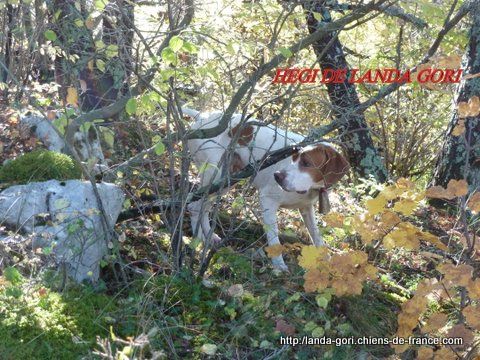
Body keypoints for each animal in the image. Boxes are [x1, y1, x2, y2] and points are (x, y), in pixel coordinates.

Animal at [184, 108, 348, 272]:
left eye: (307, 163)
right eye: (293, 158)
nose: (277, 176)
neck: (311, 188)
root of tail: (202, 115)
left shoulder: (306, 208)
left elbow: (317, 236)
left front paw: (328, 262)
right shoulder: (268, 200)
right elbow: (274, 238)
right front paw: (279, 266)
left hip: (225, 181)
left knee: (204, 208)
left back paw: (210, 237)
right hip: (214, 175)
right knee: (194, 206)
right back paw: (199, 240)